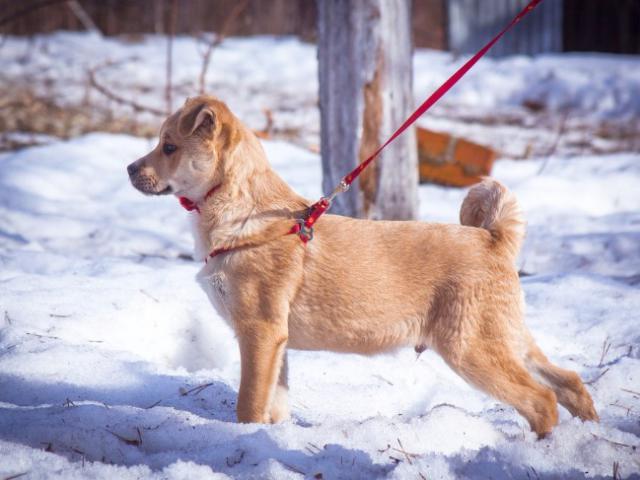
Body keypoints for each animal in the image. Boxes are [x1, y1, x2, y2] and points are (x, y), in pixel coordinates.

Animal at [127, 95, 596, 436]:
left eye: (169, 146)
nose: (129, 168)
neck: (245, 215)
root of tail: (493, 239)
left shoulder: (259, 332)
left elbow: (249, 404)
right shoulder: (276, 342)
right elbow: (274, 403)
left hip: (471, 347)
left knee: (541, 401)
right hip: (505, 336)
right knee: (567, 380)